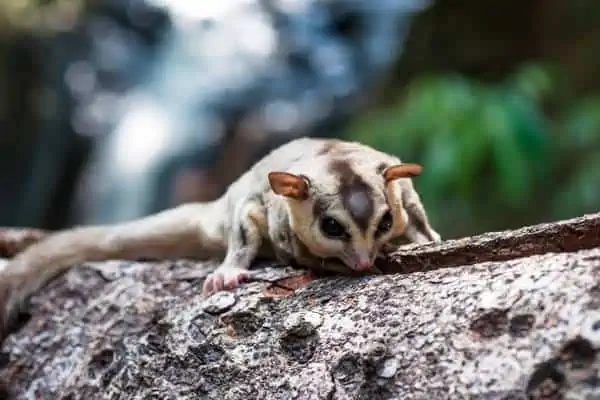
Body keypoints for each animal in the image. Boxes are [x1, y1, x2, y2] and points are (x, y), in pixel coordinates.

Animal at [0, 138, 440, 340]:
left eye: (385, 222)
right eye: (332, 227)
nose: (364, 262)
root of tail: (218, 203)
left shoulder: (399, 187)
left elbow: (416, 214)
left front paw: (421, 237)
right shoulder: (274, 219)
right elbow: (259, 235)